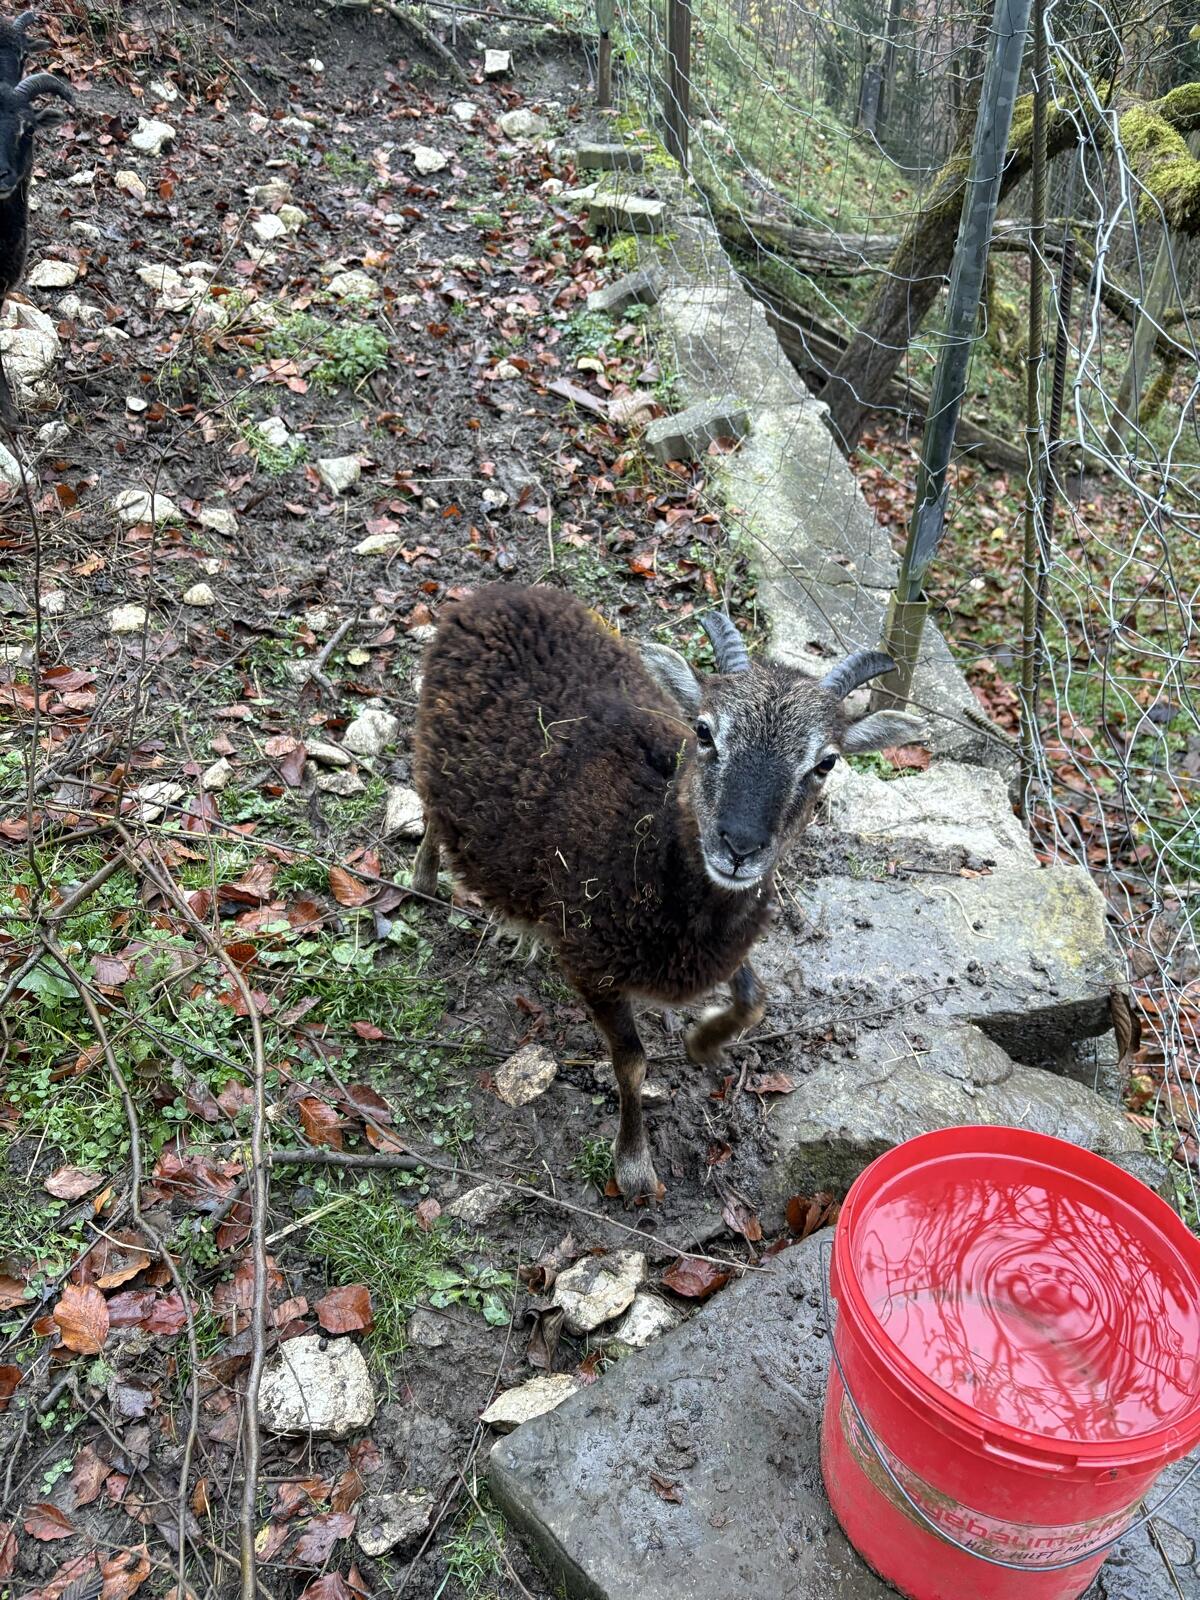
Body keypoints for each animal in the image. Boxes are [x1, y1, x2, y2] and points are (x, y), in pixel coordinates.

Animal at [412, 584, 923, 1201]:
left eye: (826, 761)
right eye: (703, 731)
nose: (739, 846)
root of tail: (493, 593)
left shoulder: (723, 946)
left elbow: (755, 1000)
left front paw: (703, 1045)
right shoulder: (592, 963)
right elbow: (632, 1062)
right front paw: (634, 1167)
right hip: (437, 761)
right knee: (431, 813)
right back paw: (423, 879)